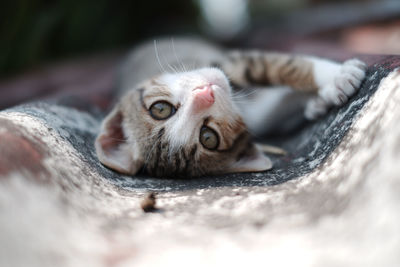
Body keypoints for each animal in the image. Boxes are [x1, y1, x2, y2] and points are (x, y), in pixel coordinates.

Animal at [94, 37, 366, 178]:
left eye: (160, 109)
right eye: (208, 137)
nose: (205, 95)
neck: (238, 100)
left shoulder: (226, 64)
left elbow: (279, 66)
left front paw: (333, 78)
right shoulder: (255, 114)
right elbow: (278, 100)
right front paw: (333, 84)